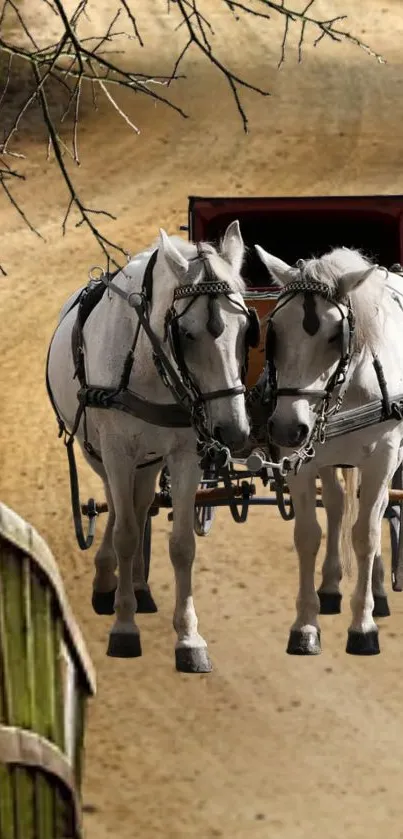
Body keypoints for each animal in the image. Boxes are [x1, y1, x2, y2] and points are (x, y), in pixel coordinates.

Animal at [47, 221, 252, 668]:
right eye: (186, 334)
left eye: (246, 331)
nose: (232, 431)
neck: (148, 362)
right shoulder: (117, 451)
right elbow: (125, 532)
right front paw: (124, 628)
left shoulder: (185, 454)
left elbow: (182, 545)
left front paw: (189, 638)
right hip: (98, 451)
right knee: (116, 503)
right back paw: (109, 580)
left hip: (150, 458)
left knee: (141, 505)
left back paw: (138, 589)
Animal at [256, 243, 403, 656]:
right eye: (274, 331)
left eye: (336, 335)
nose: (287, 427)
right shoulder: (300, 460)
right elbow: (308, 534)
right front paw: (305, 626)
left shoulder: (384, 457)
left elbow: (366, 534)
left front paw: (363, 627)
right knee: (337, 504)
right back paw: (332, 587)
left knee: (377, 513)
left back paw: (377, 591)